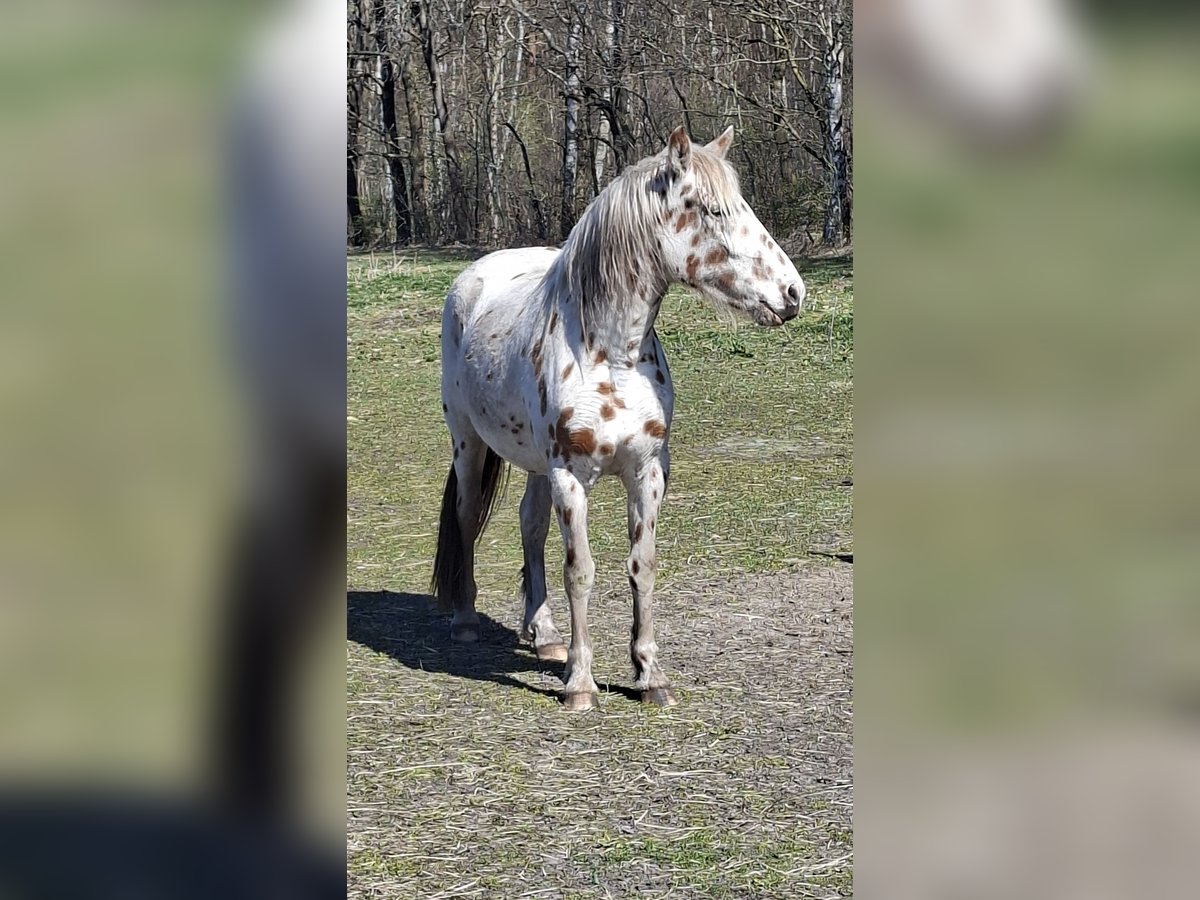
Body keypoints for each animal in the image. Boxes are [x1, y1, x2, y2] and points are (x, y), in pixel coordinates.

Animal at [432, 125, 805, 710]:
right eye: (713, 210)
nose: (793, 293)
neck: (613, 355)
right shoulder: (570, 477)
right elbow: (580, 572)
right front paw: (582, 684)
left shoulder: (648, 471)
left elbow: (641, 566)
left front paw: (650, 675)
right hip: (470, 444)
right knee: (470, 519)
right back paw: (469, 621)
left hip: (534, 464)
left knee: (530, 526)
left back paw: (545, 636)